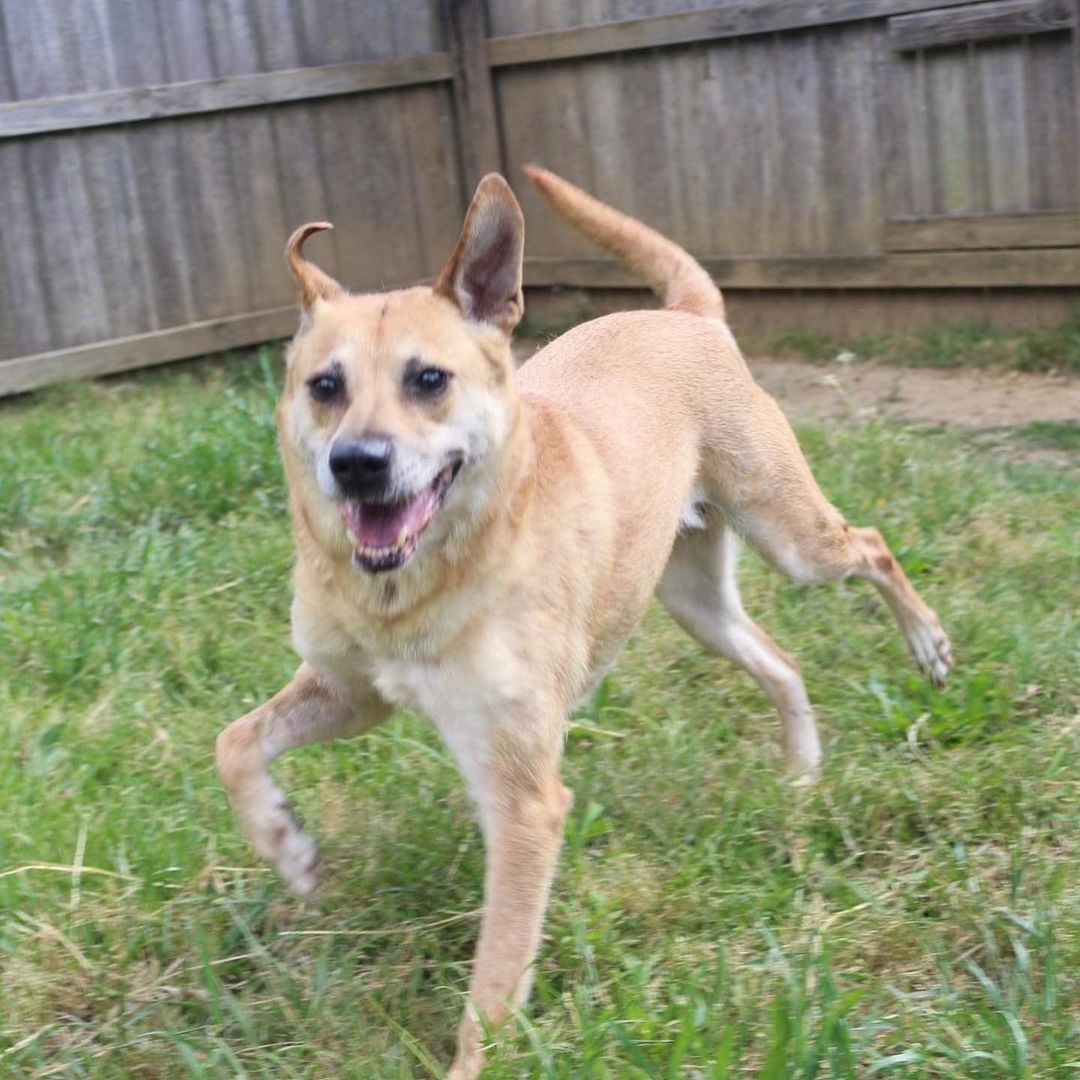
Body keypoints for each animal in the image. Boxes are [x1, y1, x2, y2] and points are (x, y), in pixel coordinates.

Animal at [217, 164, 954, 1075]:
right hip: (695, 604)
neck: (418, 587)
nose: (357, 465)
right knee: (783, 661)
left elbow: (495, 980)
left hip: (791, 536)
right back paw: (803, 773)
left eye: (429, 379)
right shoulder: (352, 693)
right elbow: (236, 744)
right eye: (325, 385)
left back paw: (928, 645)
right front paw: (286, 846)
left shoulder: (521, 798)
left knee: (874, 545)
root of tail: (685, 314)